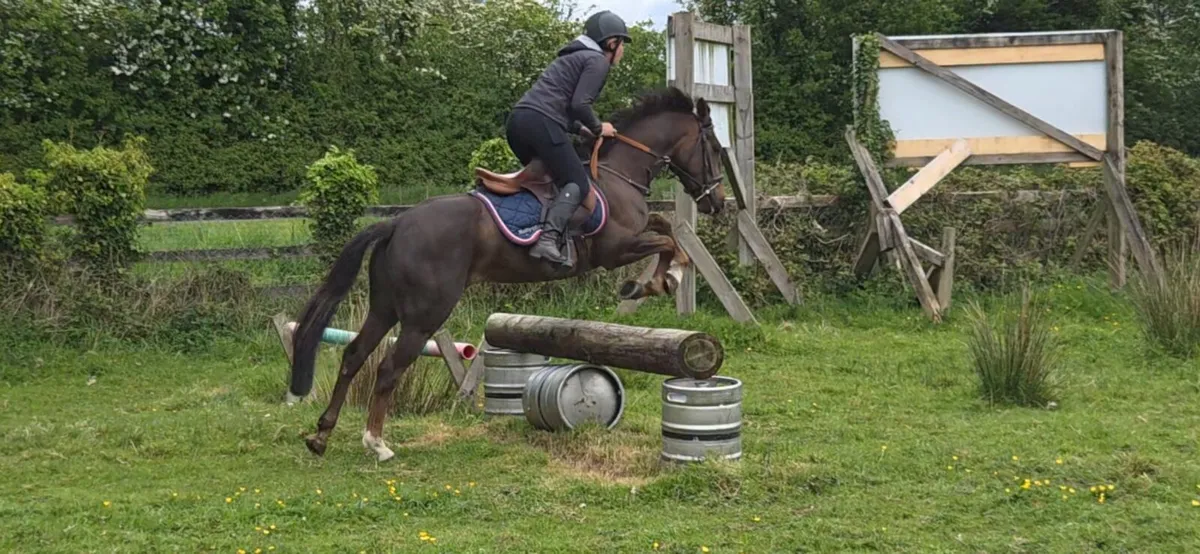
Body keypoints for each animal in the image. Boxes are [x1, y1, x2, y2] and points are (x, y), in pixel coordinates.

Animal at [287, 87, 727, 461]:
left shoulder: (631, 237)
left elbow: (663, 226)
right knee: (388, 368)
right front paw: (655, 281)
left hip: (385, 307)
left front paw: (659, 278)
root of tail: (397, 223)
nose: (718, 203)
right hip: (423, 315)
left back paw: (322, 435)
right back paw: (376, 443)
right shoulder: (615, 249)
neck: (618, 171)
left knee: (354, 355)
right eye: (715, 149)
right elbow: (666, 239)